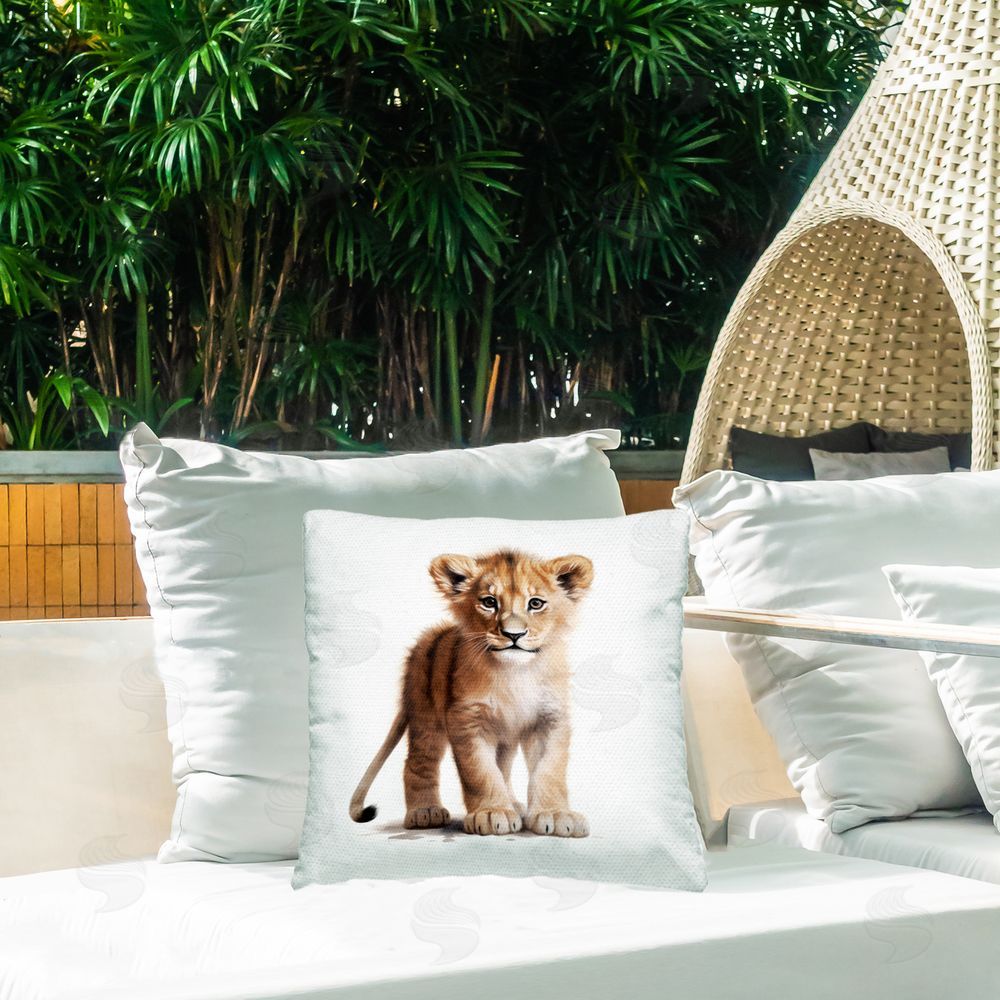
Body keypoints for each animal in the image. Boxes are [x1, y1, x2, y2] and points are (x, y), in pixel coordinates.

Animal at [349, 548, 593, 837]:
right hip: (425, 716)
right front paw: (492, 813)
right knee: (418, 762)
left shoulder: (550, 718)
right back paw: (425, 811)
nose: (514, 635)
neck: (515, 671)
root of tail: (432, 636)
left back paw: (513, 804)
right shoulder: (466, 718)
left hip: (503, 736)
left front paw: (554, 814)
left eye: (535, 603)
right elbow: (480, 771)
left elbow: (549, 769)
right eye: (489, 602)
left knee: (503, 765)